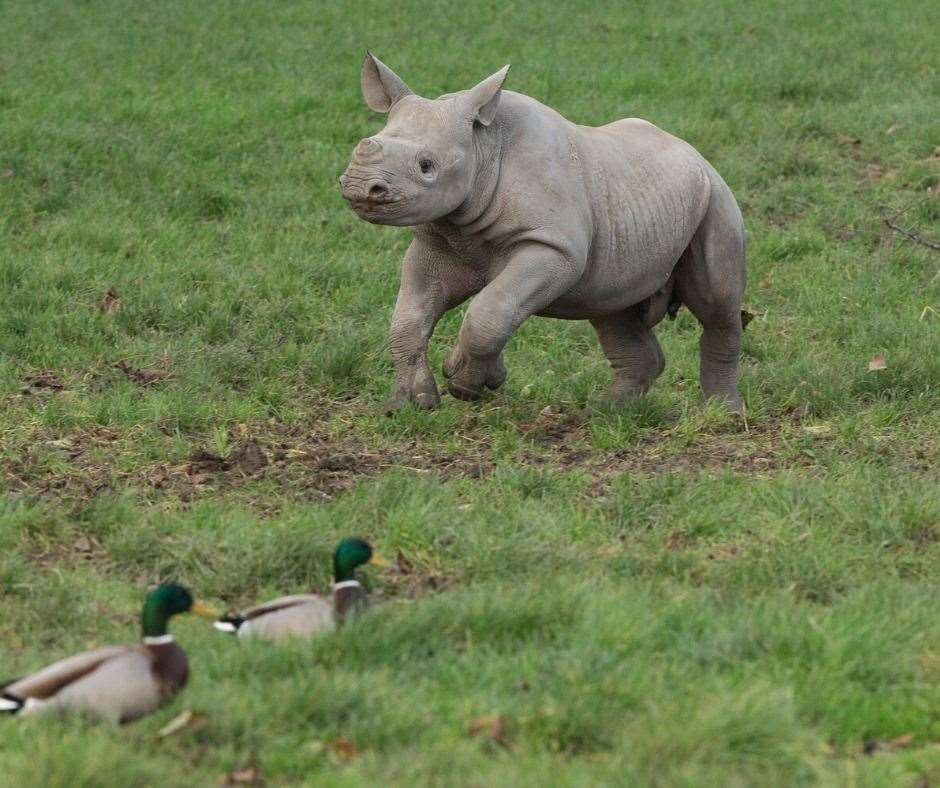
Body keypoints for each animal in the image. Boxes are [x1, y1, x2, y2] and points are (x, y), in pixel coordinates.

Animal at [342, 54, 744, 412]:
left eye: (427, 166)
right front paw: (408, 404)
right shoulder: (438, 242)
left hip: (716, 199)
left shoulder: (553, 247)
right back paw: (608, 412)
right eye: (364, 142)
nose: (360, 187)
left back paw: (721, 413)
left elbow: (490, 309)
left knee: (717, 305)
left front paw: (464, 382)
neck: (484, 149)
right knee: (611, 309)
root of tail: (695, 153)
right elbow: (409, 319)